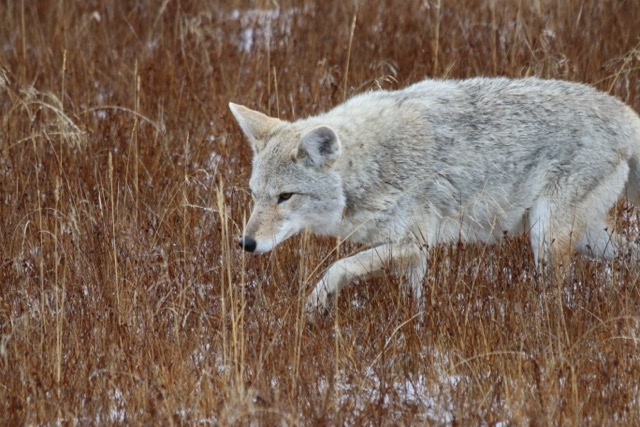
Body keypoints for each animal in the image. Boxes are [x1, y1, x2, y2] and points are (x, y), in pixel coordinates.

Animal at [229, 77, 640, 320]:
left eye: (285, 196)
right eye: (255, 195)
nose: (246, 243)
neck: (372, 162)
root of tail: (624, 114)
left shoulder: (414, 242)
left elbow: (337, 267)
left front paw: (315, 307)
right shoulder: (414, 255)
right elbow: (413, 296)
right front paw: (418, 329)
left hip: (547, 238)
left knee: (554, 299)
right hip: (584, 237)